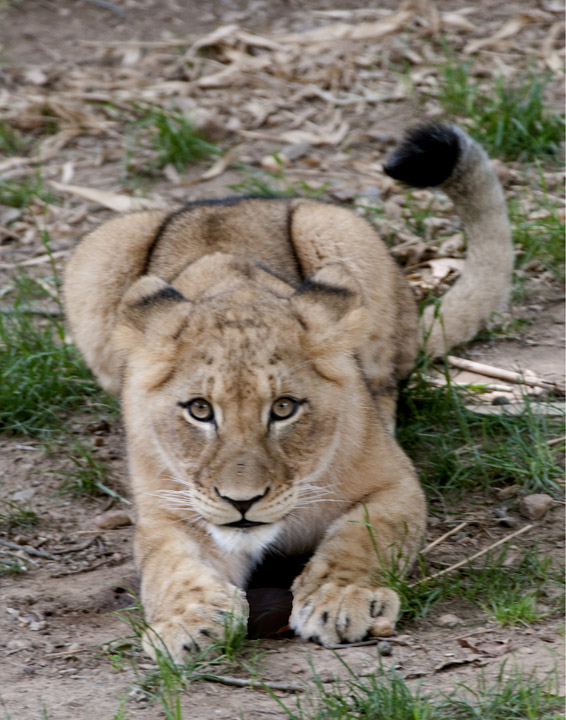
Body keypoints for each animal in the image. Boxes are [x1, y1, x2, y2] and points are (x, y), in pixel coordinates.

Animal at [64, 124, 512, 661]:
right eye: (200, 410)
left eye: (283, 408)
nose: (241, 502)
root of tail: (231, 200)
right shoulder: (164, 512)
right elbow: (169, 566)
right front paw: (188, 622)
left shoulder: (395, 484)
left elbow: (364, 537)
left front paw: (342, 598)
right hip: (98, 255)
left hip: (340, 236)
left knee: (386, 378)